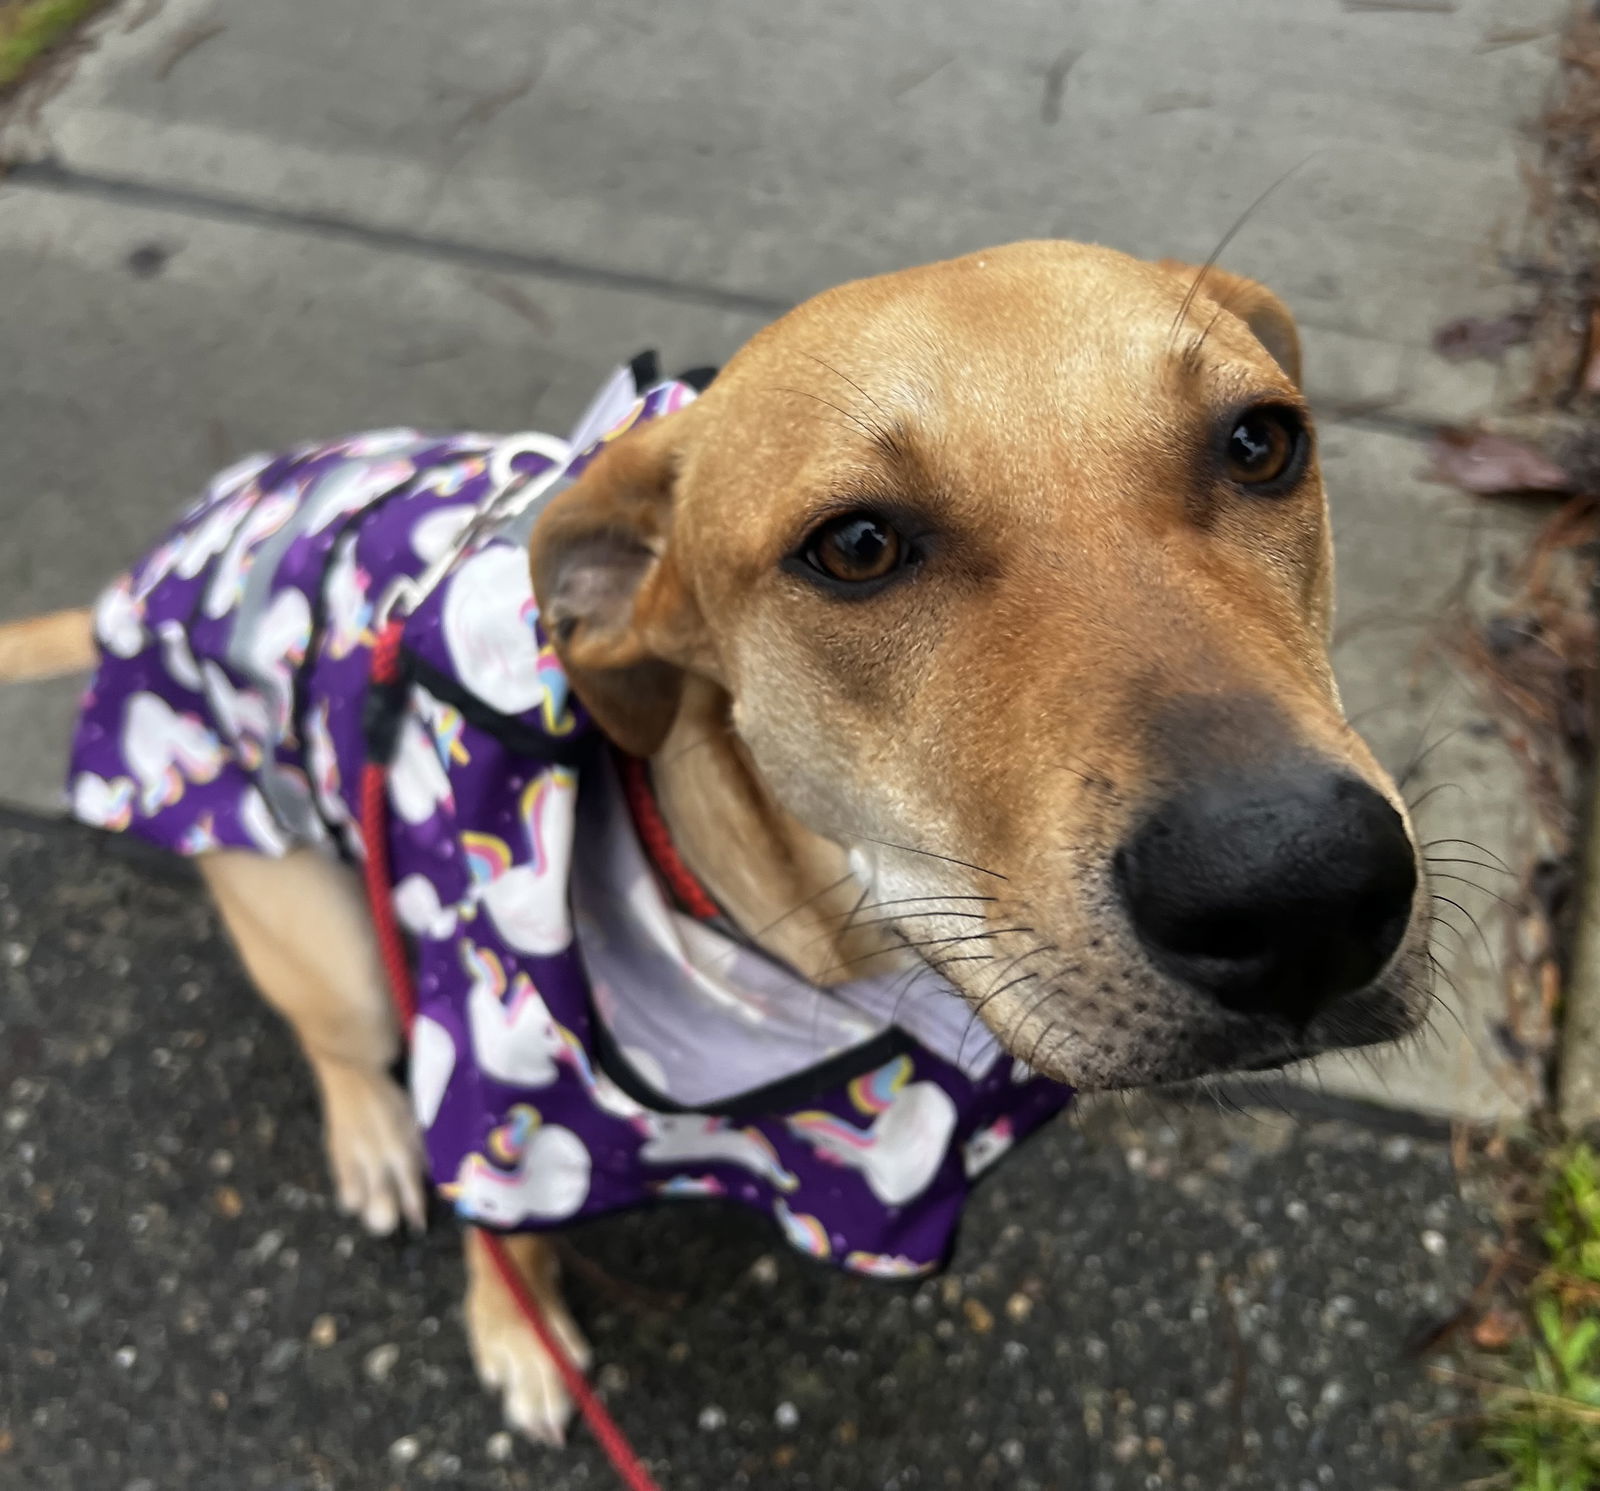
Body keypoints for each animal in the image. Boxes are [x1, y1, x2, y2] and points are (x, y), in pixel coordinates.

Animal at [6, 241, 1433, 1446]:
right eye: (854, 545)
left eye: (1259, 443)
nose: (1300, 891)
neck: (818, 949)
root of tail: (163, 560)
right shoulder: (489, 1105)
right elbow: (503, 1234)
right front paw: (518, 1339)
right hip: (333, 941)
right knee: (340, 1044)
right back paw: (369, 1141)